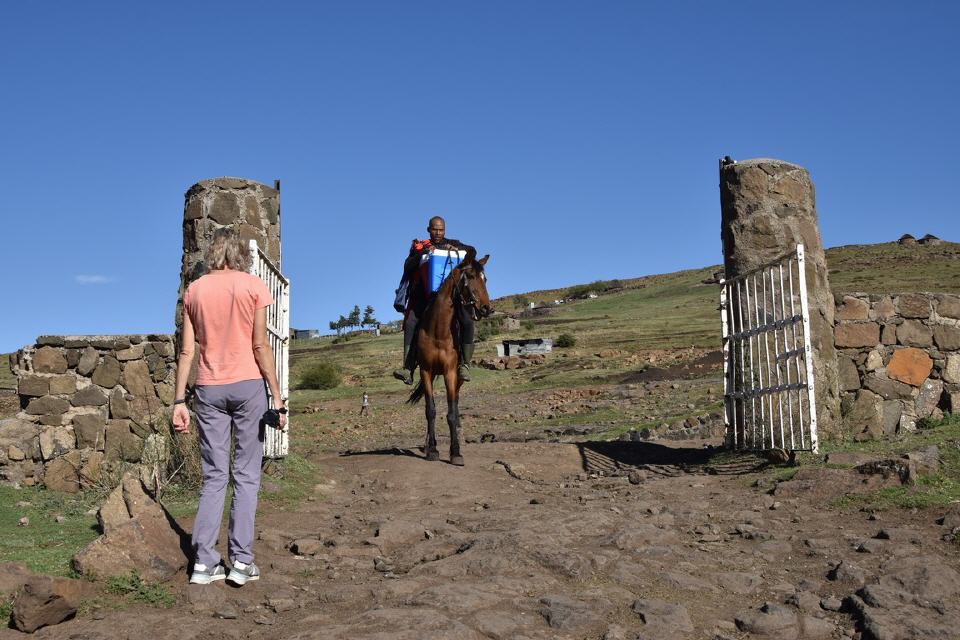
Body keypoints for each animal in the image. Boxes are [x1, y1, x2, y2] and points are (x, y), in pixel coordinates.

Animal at [406, 250, 492, 464]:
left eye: (485, 278)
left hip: (458, 378)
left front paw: (455, 452)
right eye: (470, 276)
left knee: (457, 404)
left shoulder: (450, 372)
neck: (438, 330)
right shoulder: (426, 371)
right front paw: (432, 449)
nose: (487, 308)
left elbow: (452, 412)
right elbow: (430, 410)